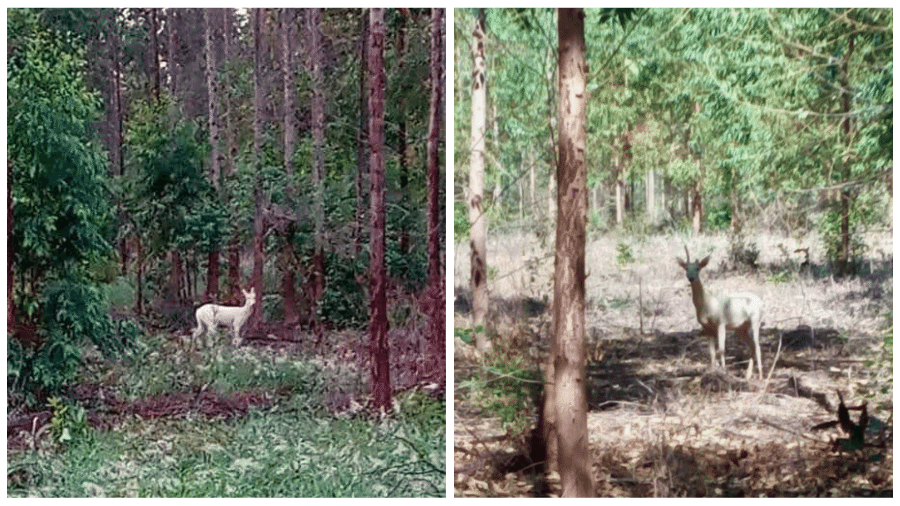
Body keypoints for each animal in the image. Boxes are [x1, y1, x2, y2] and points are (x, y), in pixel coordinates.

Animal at [680, 245, 764, 380]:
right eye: (686, 268)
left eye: (698, 268)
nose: (691, 278)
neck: (707, 303)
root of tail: (762, 303)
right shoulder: (707, 328)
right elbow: (712, 352)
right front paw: (712, 371)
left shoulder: (721, 322)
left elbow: (721, 349)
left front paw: (724, 372)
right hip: (741, 328)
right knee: (751, 345)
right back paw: (747, 375)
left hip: (756, 320)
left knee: (757, 345)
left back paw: (761, 376)